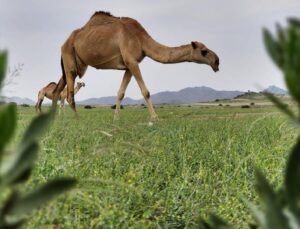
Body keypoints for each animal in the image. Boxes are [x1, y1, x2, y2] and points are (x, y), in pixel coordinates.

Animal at [52, 11, 219, 121]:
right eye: (204, 52)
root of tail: (64, 43)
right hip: (69, 59)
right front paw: (154, 117)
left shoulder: (129, 65)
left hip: (73, 63)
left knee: (59, 88)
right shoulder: (131, 61)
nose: (217, 62)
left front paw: (116, 118)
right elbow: (145, 91)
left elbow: (121, 92)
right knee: (69, 94)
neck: (141, 39)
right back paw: (78, 118)